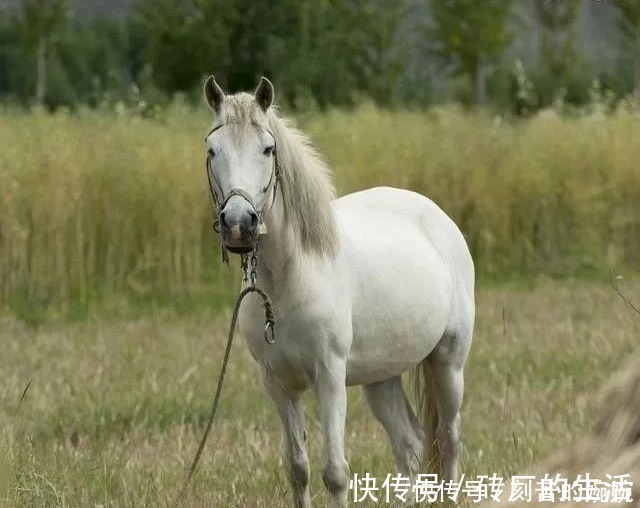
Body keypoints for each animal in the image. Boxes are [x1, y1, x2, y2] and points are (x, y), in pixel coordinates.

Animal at [204, 76, 476, 508]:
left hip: (448, 363)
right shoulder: (278, 385)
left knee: (448, 440)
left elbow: (335, 472)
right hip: (382, 378)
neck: (289, 277)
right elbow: (297, 469)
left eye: (267, 149)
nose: (238, 224)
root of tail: (437, 217)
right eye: (213, 150)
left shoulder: (329, 378)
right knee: (410, 444)